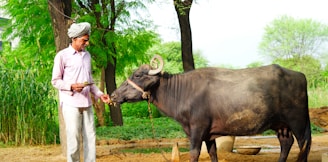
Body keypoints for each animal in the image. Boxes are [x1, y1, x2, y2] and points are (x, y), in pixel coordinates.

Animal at [110, 55, 310, 161]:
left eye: (137, 75)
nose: (112, 95)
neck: (183, 92)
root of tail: (300, 75)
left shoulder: (197, 130)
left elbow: (194, 154)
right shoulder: (209, 135)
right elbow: (213, 153)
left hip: (298, 122)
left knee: (304, 144)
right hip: (281, 125)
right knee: (286, 143)